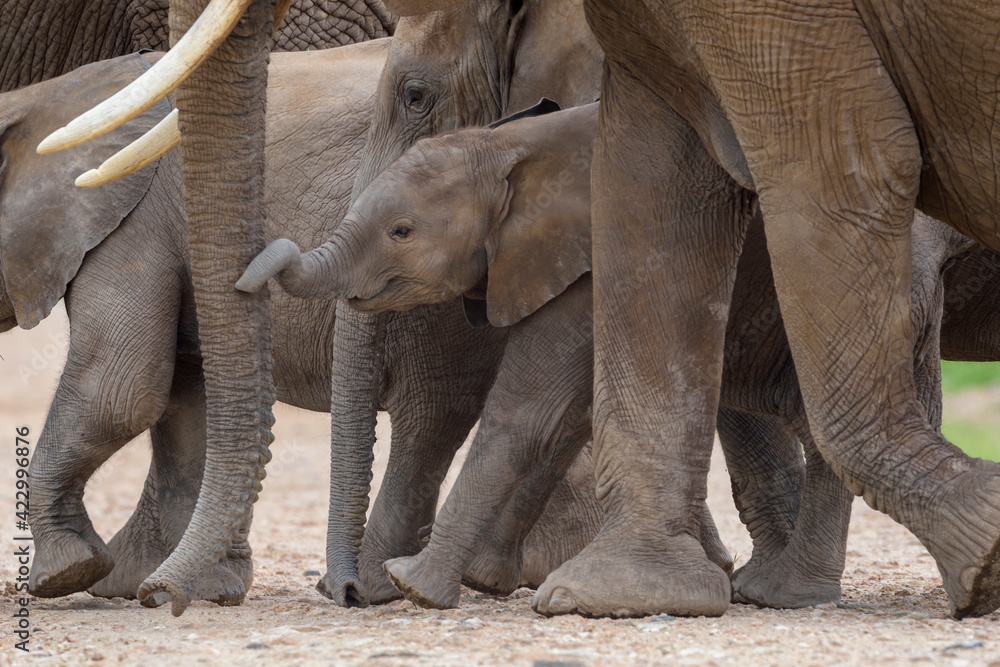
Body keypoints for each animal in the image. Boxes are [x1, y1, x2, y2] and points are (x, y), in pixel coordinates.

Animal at [238, 99, 993, 611]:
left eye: (401, 231)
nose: (247, 276)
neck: (506, 146)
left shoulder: (591, 255)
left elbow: (527, 408)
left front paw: (417, 583)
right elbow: (564, 414)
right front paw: (485, 577)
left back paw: (786, 594)